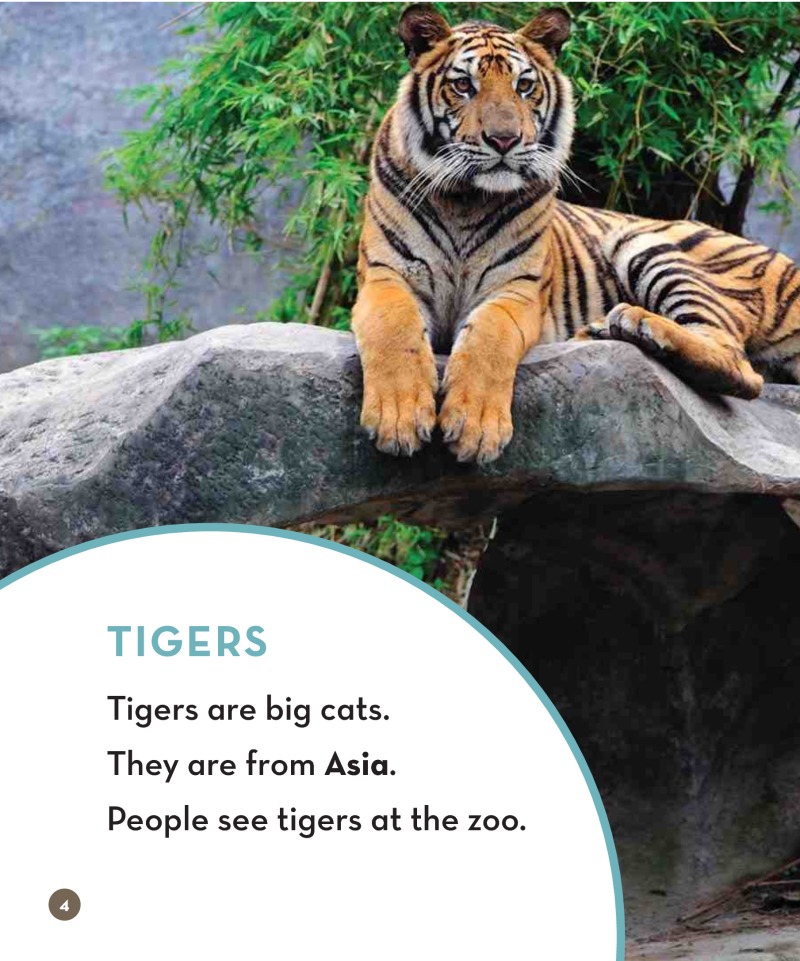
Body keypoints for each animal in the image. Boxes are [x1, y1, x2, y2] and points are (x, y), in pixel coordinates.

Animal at [351, 3, 800, 464]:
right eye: (463, 85)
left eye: (524, 86)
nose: (505, 140)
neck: (466, 199)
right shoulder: (387, 275)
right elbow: (393, 329)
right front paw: (399, 418)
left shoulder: (518, 290)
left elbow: (489, 340)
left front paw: (475, 427)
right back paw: (609, 330)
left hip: (647, 245)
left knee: (739, 365)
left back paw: (636, 323)